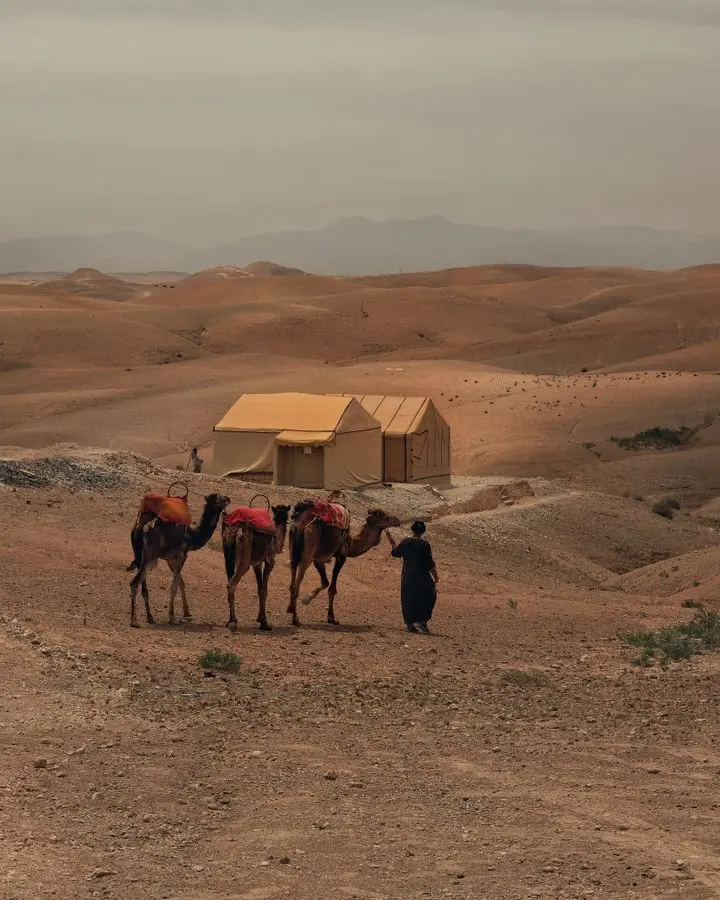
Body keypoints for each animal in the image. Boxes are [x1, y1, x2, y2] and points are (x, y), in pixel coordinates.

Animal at [129, 492, 230, 627]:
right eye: (221, 498)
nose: (228, 499)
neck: (191, 536)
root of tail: (141, 528)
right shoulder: (181, 556)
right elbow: (174, 587)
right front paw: (172, 617)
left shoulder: (171, 560)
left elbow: (181, 583)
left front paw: (187, 612)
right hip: (148, 557)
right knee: (134, 583)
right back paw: (134, 620)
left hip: (142, 558)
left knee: (143, 587)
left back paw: (150, 617)